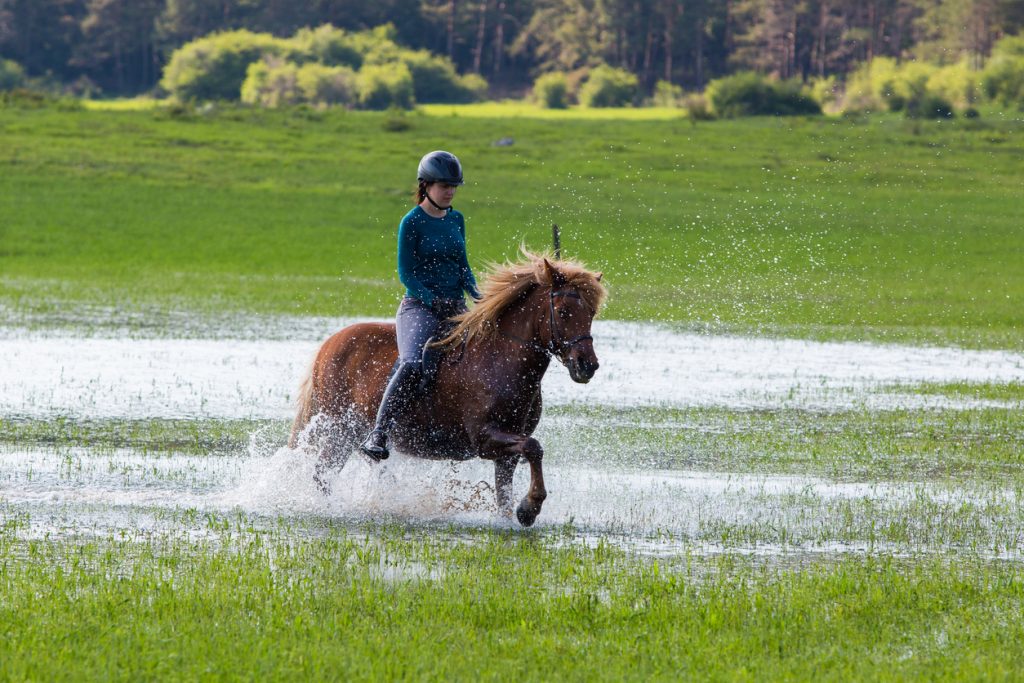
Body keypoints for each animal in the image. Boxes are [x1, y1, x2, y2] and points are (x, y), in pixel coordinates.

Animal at [288, 253, 606, 528]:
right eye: (563, 312)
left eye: (591, 313)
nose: (587, 365)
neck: (501, 359)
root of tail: (330, 343)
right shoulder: (485, 439)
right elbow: (534, 447)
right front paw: (530, 508)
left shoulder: (506, 450)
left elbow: (506, 490)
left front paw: (516, 515)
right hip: (341, 428)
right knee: (324, 472)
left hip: (348, 433)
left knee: (331, 471)